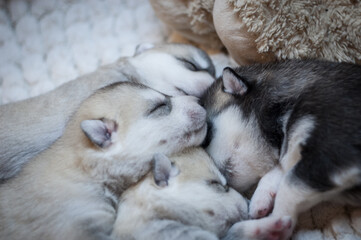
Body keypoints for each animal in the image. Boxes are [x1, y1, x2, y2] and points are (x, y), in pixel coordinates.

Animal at [201, 59, 360, 238]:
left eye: (206, 137)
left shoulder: (331, 151)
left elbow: (289, 187)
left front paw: (269, 226)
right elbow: (283, 170)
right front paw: (262, 198)